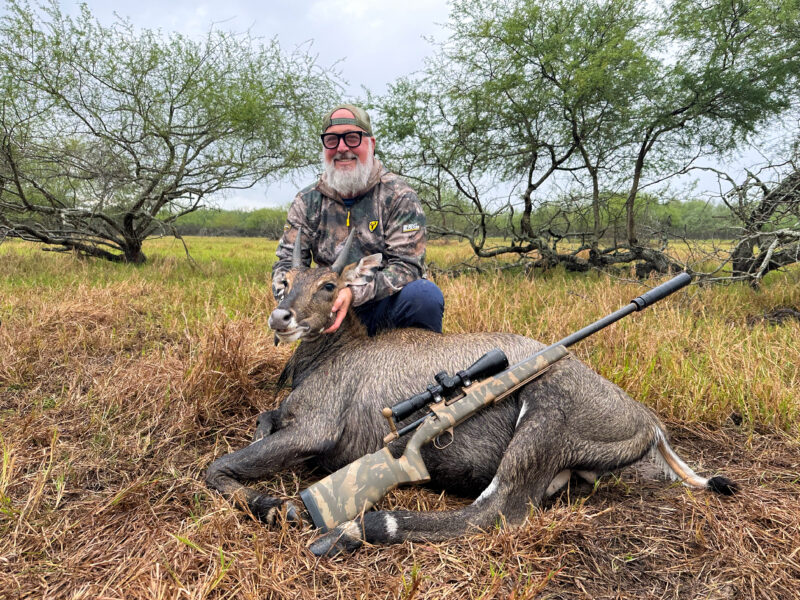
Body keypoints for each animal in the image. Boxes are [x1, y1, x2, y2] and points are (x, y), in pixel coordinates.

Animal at [203, 230, 736, 556]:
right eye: (287, 281)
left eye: (330, 284)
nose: (281, 317)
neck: (337, 353)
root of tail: (649, 423)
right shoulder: (285, 421)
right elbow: (263, 421)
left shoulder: (312, 431)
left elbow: (215, 469)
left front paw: (281, 506)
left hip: (540, 424)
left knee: (490, 514)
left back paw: (353, 530)